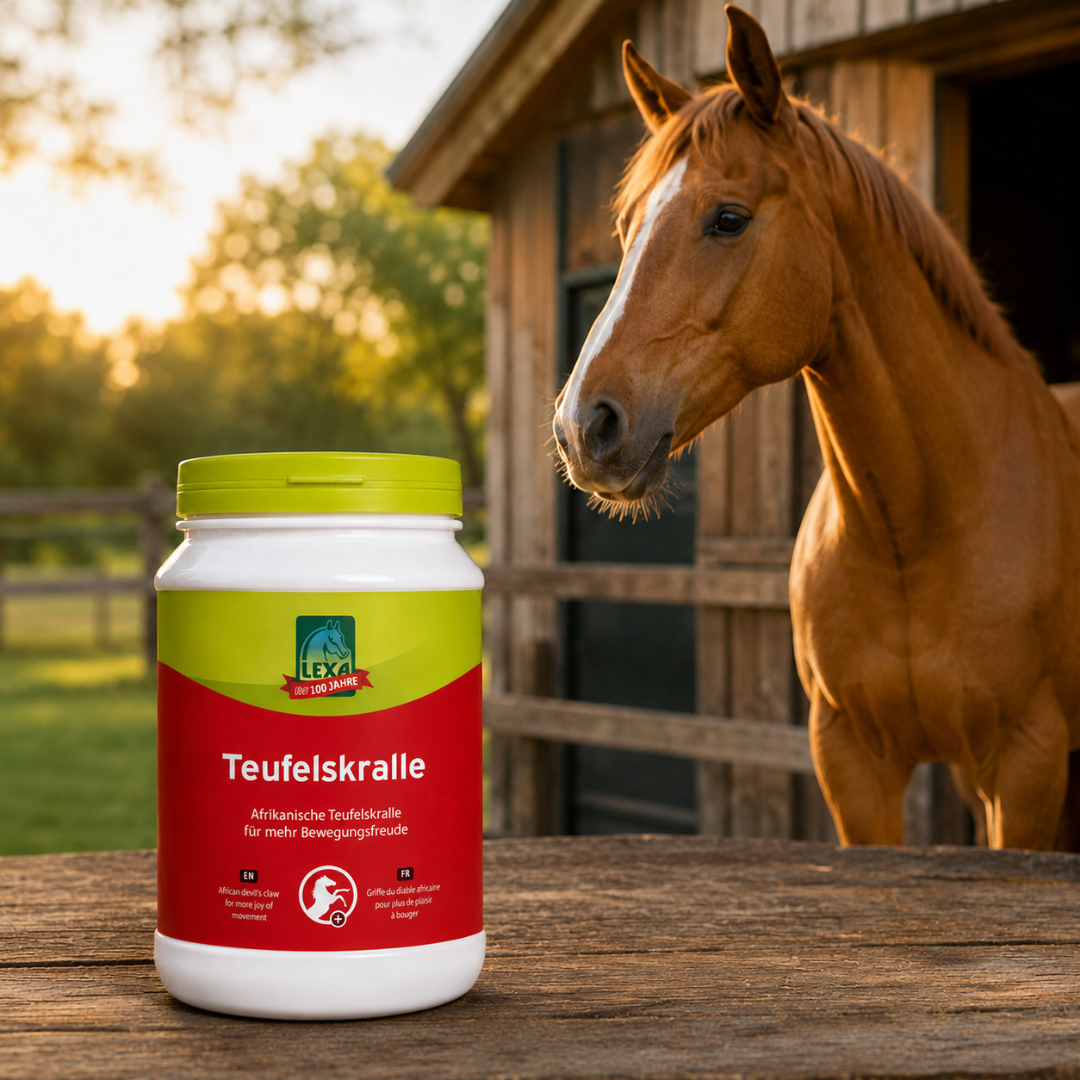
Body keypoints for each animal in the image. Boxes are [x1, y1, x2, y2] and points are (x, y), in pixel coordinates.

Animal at [552, 4, 1080, 850]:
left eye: (728, 219)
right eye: (628, 227)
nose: (583, 426)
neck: (915, 532)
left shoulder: (1026, 765)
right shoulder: (852, 761)